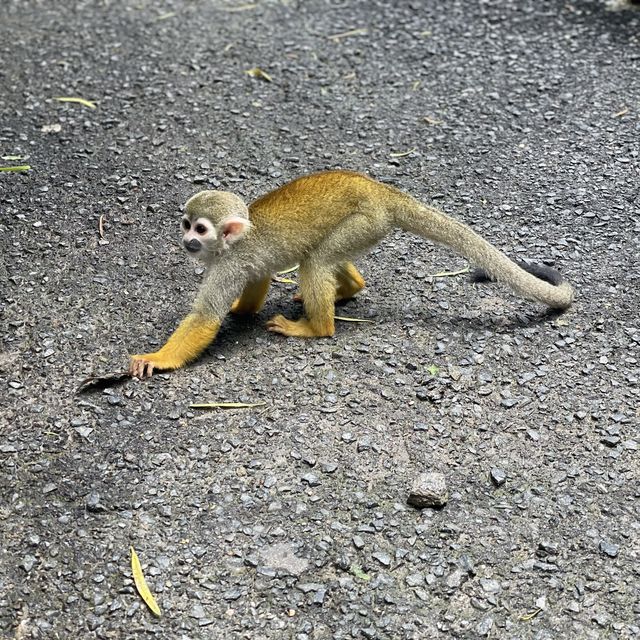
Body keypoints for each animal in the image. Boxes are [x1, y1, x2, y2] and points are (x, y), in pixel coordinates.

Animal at [130, 172, 576, 378]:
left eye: (201, 229)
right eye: (186, 223)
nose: (187, 239)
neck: (232, 242)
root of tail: (384, 191)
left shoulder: (229, 263)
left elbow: (205, 319)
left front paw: (158, 358)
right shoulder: (242, 262)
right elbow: (258, 279)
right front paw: (242, 310)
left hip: (364, 221)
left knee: (315, 261)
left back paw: (316, 328)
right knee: (320, 257)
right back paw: (348, 289)